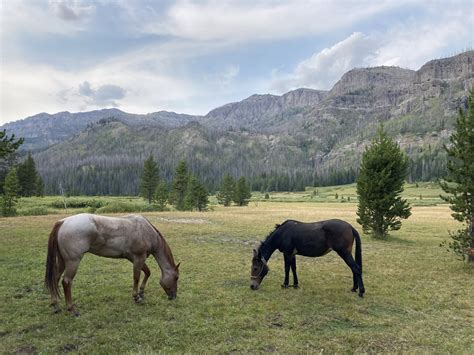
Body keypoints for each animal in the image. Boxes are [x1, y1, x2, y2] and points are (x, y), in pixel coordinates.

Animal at [45, 214, 180, 318]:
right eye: (176, 277)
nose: (174, 297)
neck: (145, 231)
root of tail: (63, 222)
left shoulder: (135, 259)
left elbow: (147, 272)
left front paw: (141, 293)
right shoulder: (138, 258)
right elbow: (136, 277)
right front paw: (136, 297)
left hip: (63, 261)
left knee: (55, 278)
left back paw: (56, 304)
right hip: (73, 261)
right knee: (66, 282)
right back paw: (72, 310)